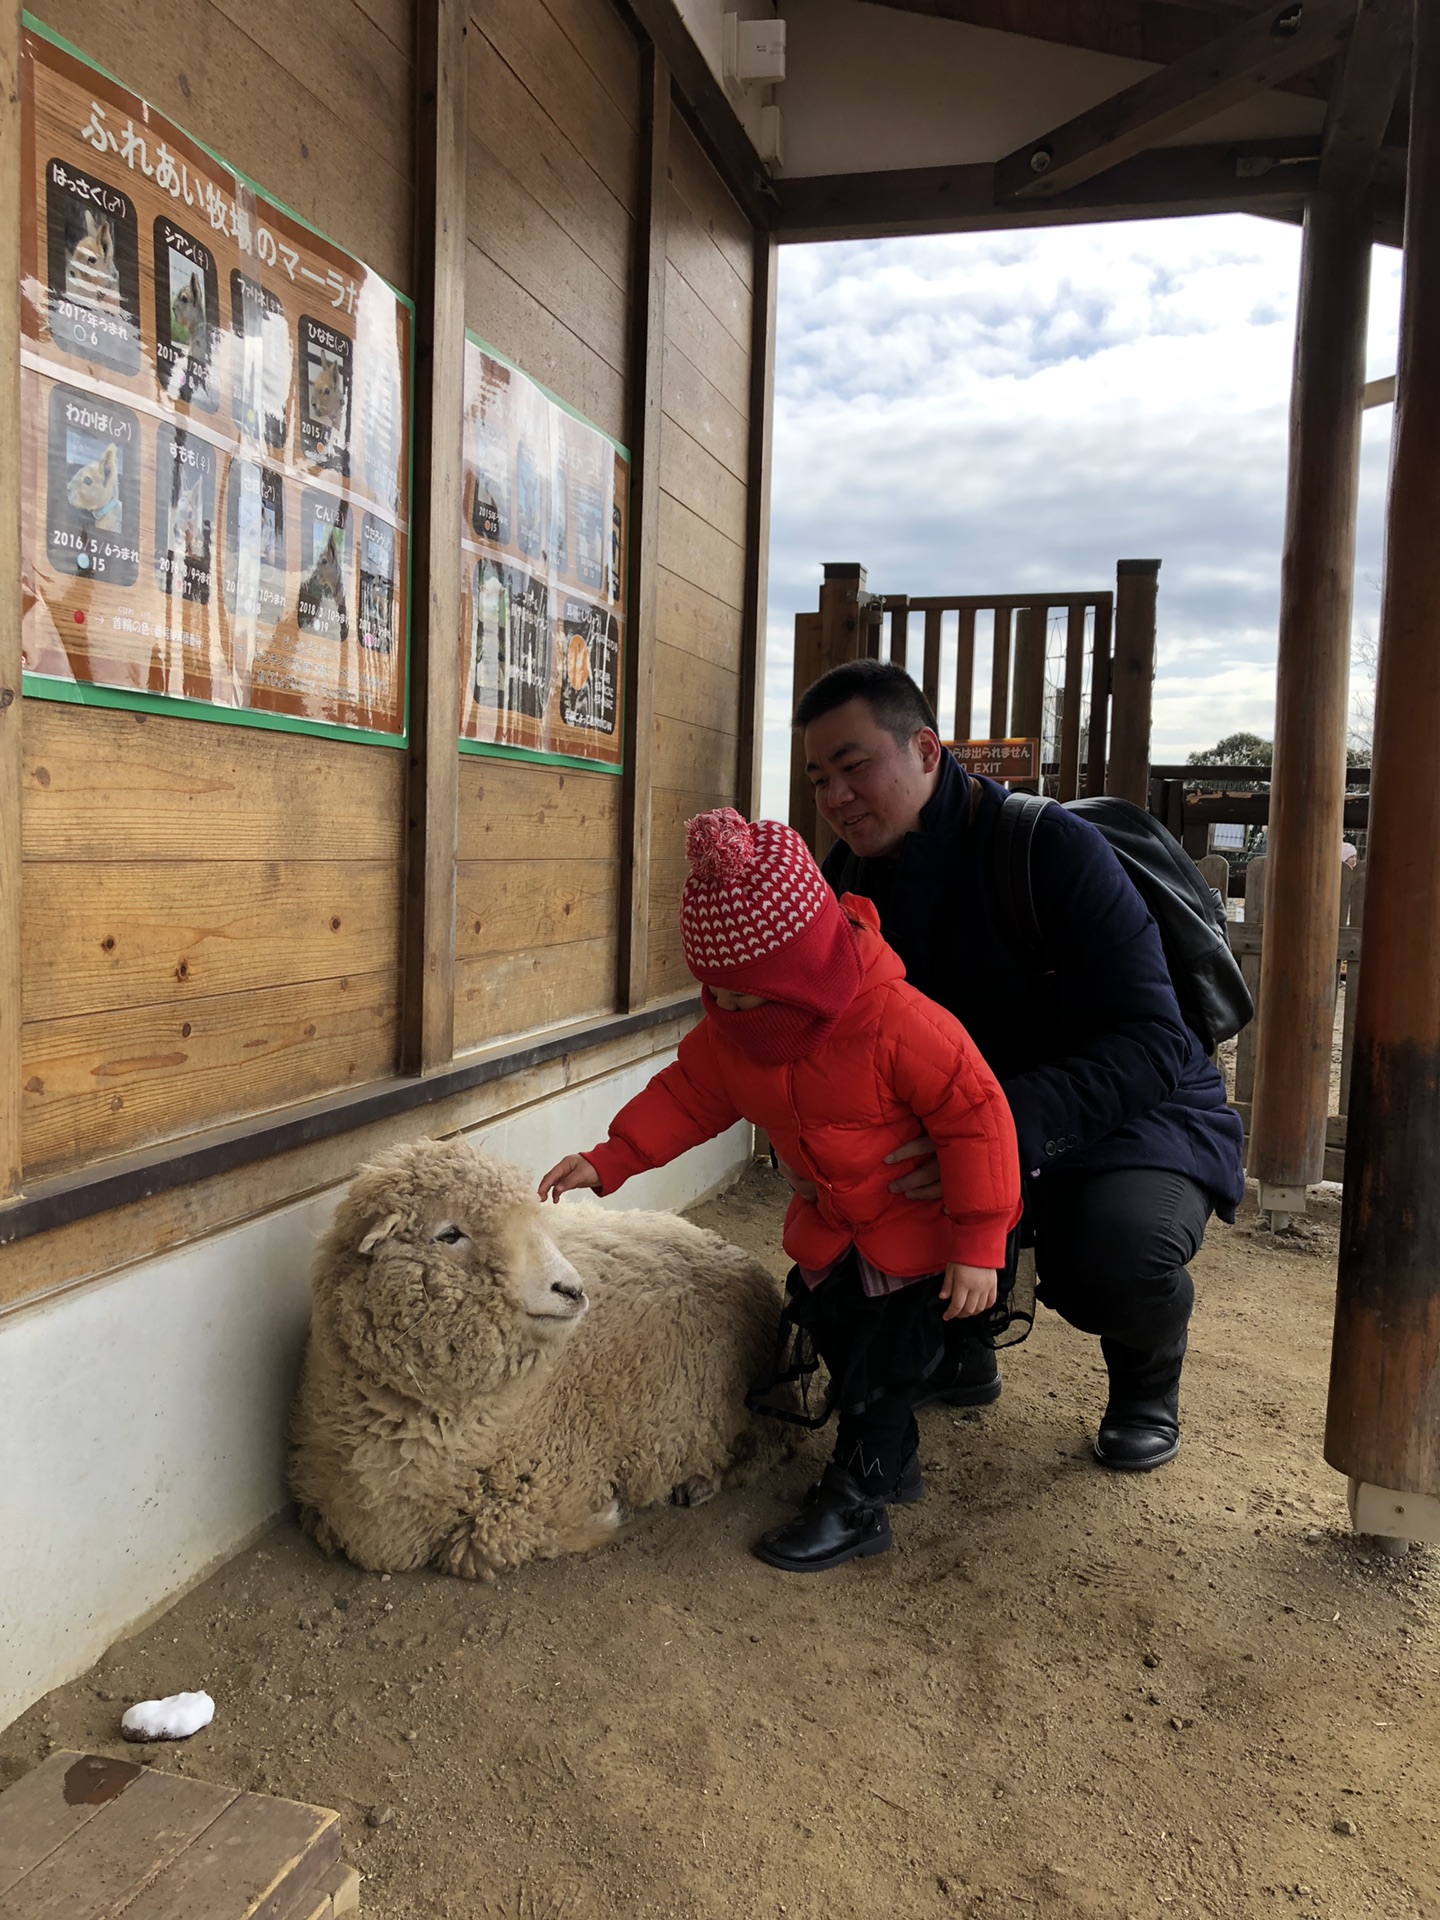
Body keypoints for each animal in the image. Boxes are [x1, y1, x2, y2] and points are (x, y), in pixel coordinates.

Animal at [291, 1136, 791, 1574]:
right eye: (449, 1234)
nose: (572, 1289)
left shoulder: (555, 1480)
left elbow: (482, 1541)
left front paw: (608, 1515)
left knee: (766, 1445)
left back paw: (701, 1481)